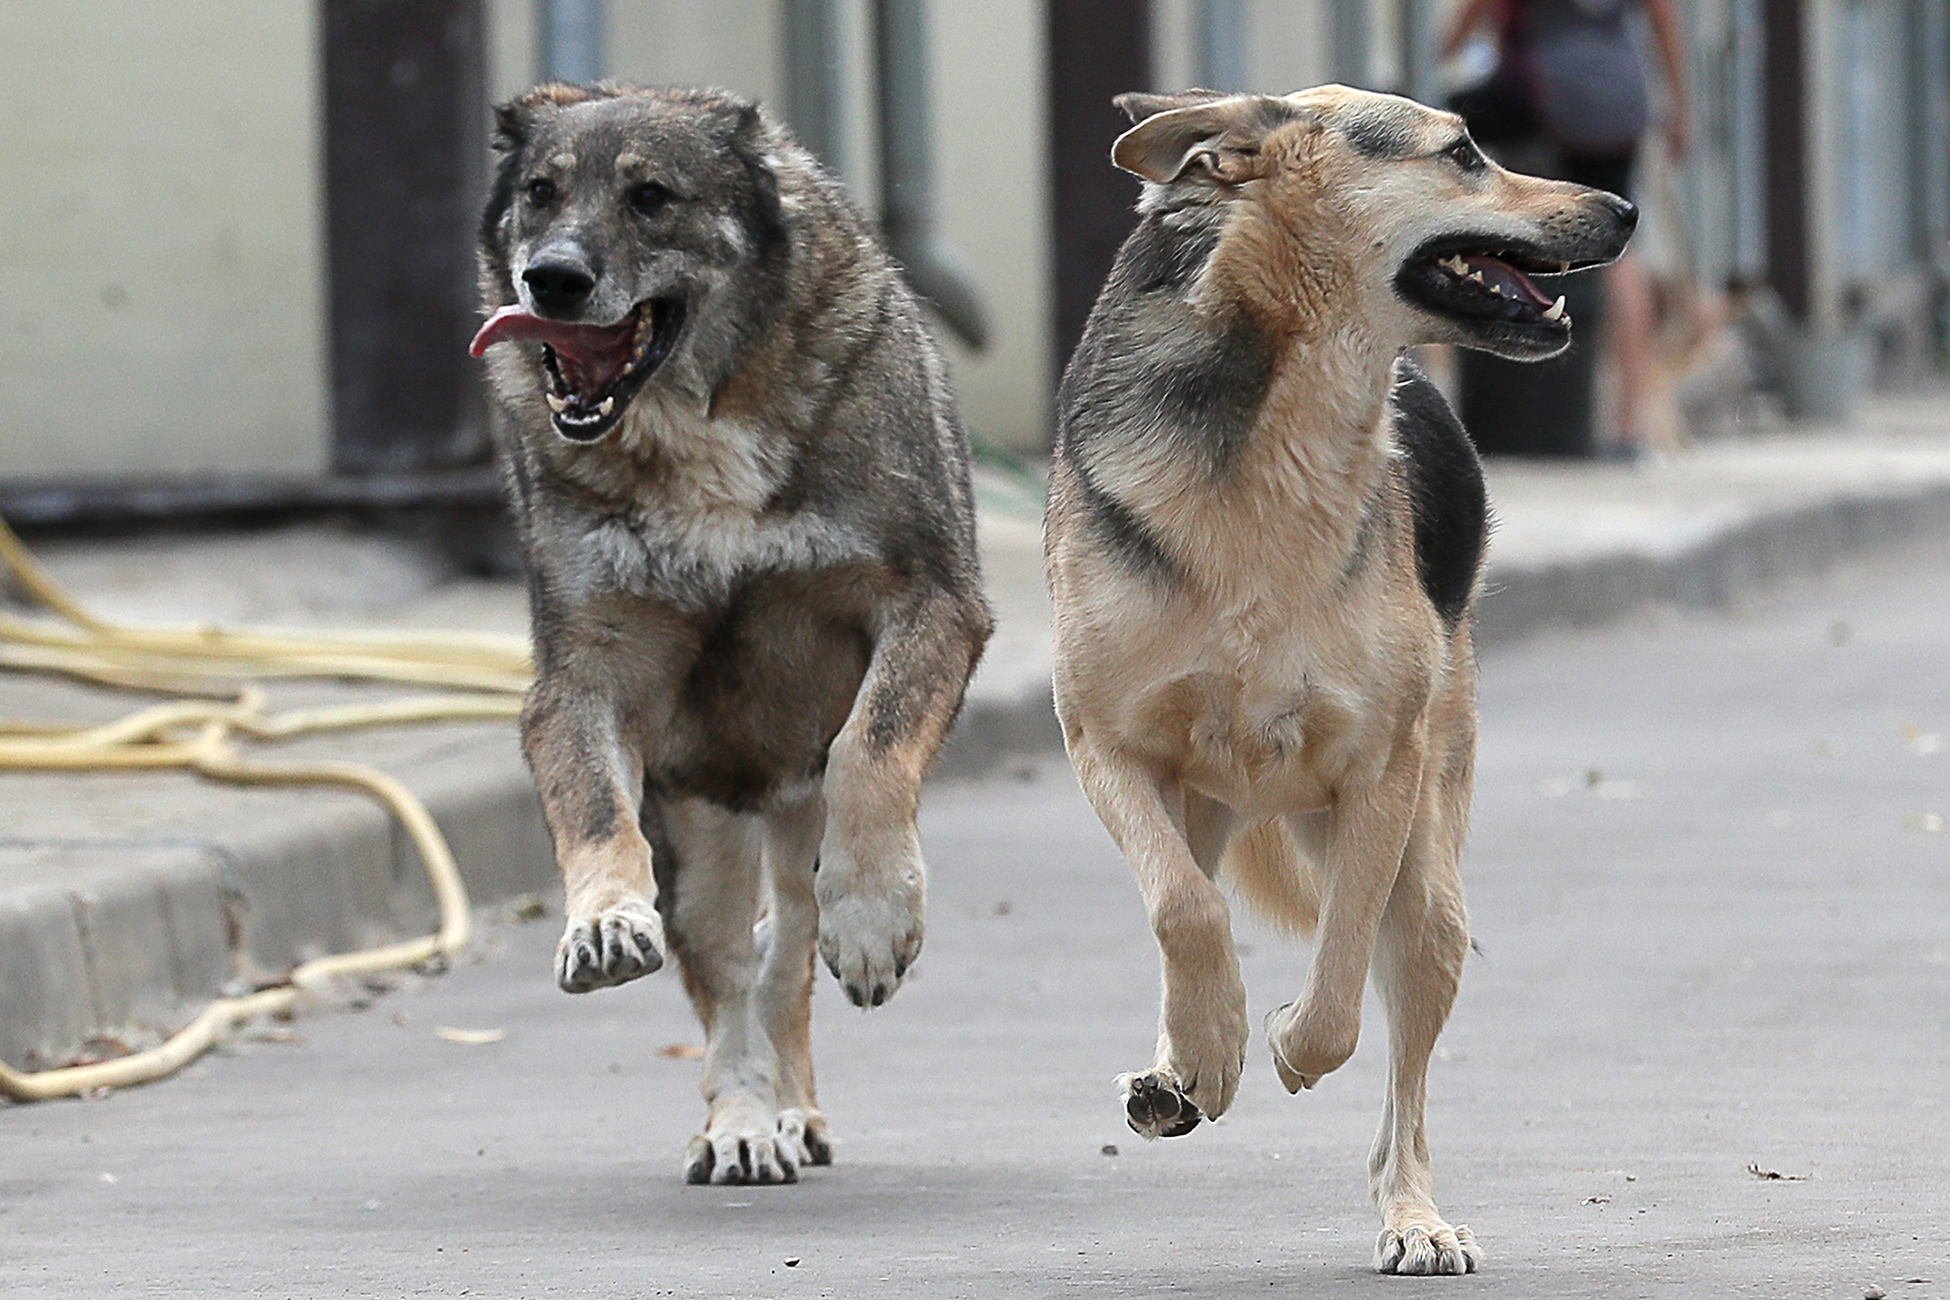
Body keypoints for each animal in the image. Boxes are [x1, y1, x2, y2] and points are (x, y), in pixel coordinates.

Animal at [468, 86, 990, 1192]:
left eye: (652, 196)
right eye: (540, 193)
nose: (552, 279)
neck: (692, 426)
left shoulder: (931, 604)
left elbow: (872, 748)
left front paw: (877, 914)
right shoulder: (582, 681)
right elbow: (592, 812)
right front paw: (602, 920)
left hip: (795, 826)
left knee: (788, 948)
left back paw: (799, 1089)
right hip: (701, 833)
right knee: (729, 973)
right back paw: (747, 1122)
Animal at [1045, 86, 1638, 1278]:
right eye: (1464, 152)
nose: (1627, 207)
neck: (1283, 435)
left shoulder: (1378, 771)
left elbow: (1333, 1003)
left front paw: (1277, 1043)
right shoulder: (1104, 743)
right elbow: (1182, 909)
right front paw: (1209, 1054)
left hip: (1433, 883)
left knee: (1400, 1064)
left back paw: (1415, 1217)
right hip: (1198, 800)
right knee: (1194, 899)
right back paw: (1181, 1066)